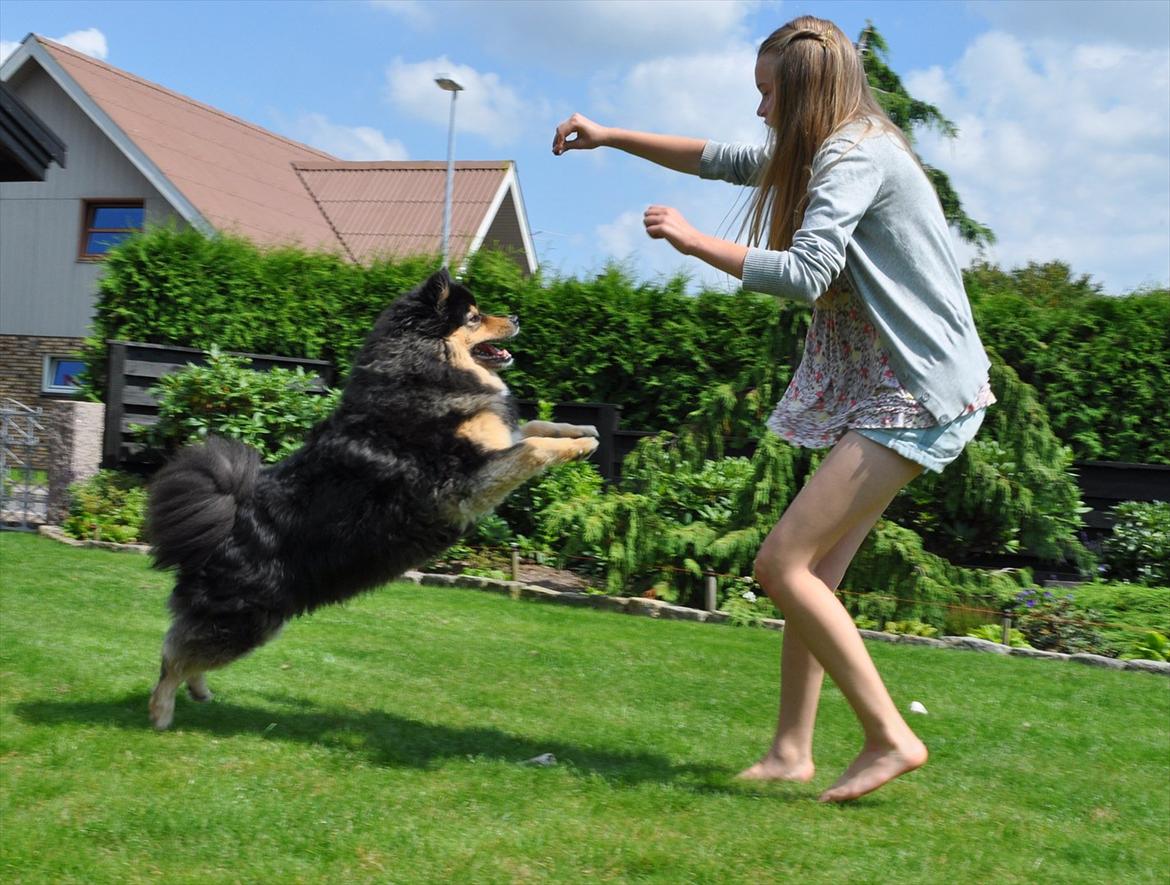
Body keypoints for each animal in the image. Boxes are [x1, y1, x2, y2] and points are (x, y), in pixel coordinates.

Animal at [147, 268, 599, 725]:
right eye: (473, 317)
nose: (517, 316)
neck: (425, 371)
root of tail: (221, 524)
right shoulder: (466, 481)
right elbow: (532, 446)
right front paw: (578, 445)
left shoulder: (494, 443)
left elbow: (535, 426)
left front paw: (581, 433)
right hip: (248, 619)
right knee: (174, 655)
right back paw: (161, 712)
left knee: (189, 651)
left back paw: (199, 691)